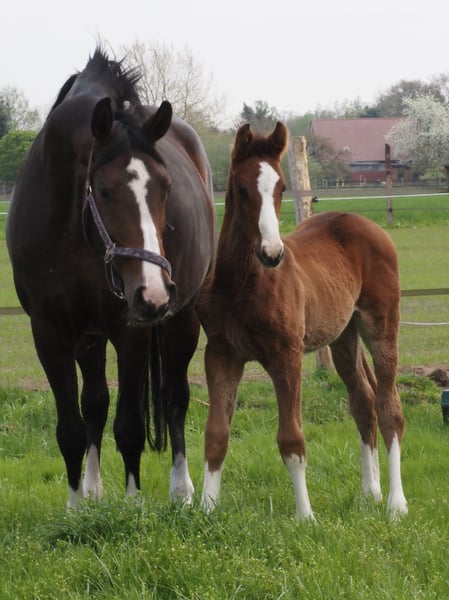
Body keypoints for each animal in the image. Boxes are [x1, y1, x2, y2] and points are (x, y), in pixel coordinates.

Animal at [6, 47, 216, 508]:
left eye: (166, 188)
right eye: (104, 192)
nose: (154, 293)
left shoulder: (129, 329)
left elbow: (131, 427)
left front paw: (134, 507)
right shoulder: (50, 332)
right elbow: (73, 426)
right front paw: (75, 506)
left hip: (183, 318)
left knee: (175, 397)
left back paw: (181, 490)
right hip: (90, 335)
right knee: (96, 403)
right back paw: (93, 489)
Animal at [196, 121, 407, 520]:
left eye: (280, 187)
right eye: (242, 188)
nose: (272, 253)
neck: (243, 283)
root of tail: (371, 226)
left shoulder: (286, 355)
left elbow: (292, 438)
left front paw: (305, 516)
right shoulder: (220, 353)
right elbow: (216, 433)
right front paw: (205, 510)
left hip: (381, 325)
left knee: (390, 408)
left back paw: (395, 503)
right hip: (344, 335)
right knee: (363, 402)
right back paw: (369, 493)